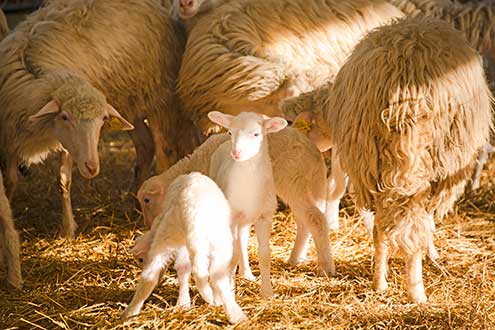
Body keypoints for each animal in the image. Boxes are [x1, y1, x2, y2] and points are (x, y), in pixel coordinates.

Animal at [0, 0, 202, 238]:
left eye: (102, 119)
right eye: (65, 116)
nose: (92, 167)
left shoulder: (68, 144)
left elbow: (63, 180)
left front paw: (68, 230)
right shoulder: (10, 139)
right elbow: (10, 181)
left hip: (157, 96)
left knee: (165, 152)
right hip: (128, 103)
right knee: (145, 146)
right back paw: (132, 202)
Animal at [123, 173, 247, 324]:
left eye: (140, 259)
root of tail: (188, 212)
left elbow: (182, 268)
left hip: (167, 236)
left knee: (149, 276)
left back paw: (130, 314)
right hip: (219, 242)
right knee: (216, 275)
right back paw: (233, 313)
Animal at [138, 127, 338, 278]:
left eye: (147, 200)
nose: (147, 224)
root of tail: (312, 152)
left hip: (292, 181)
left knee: (315, 219)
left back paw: (325, 267)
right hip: (310, 186)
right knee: (305, 221)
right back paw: (295, 258)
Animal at [288, 17, 494, 302]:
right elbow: (427, 223)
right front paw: (432, 254)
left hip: (372, 162)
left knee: (383, 225)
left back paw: (383, 284)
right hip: (432, 163)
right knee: (407, 222)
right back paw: (414, 291)